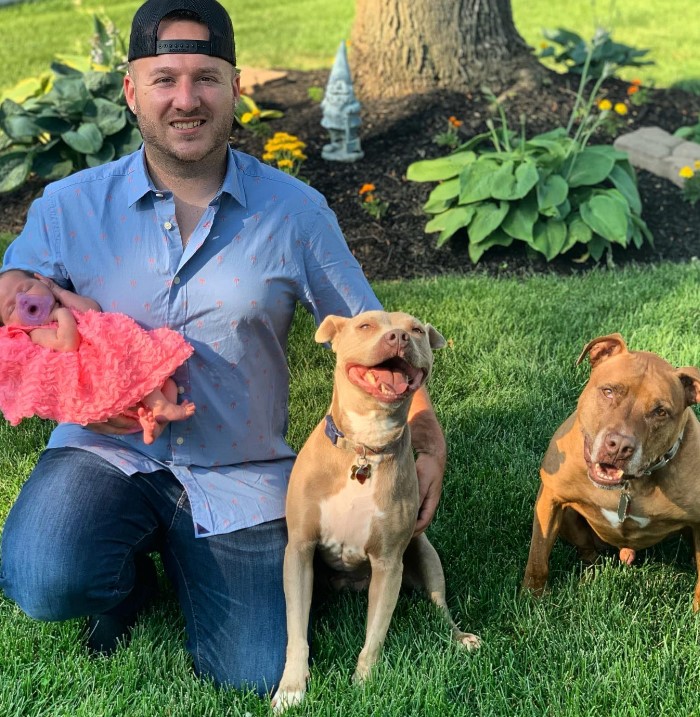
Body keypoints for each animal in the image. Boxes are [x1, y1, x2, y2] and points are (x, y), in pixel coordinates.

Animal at [270, 310, 478, 712]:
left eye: (416, 329)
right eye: (365, 325)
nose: (399, 337)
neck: (366, 445)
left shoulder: (388, 564)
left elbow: (375, 637)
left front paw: (364, 686)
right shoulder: (299, 551)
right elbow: (296, 631)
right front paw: (291, 689)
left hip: (424, 552)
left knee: (439, 604)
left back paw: (459, 636)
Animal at [524, 332, 700, 600]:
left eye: (660, 412)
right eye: (608, 391)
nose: (619, 447)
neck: (628, 487)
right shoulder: (551, 498)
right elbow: (538, 556)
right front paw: (531, 598)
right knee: (587, 550)